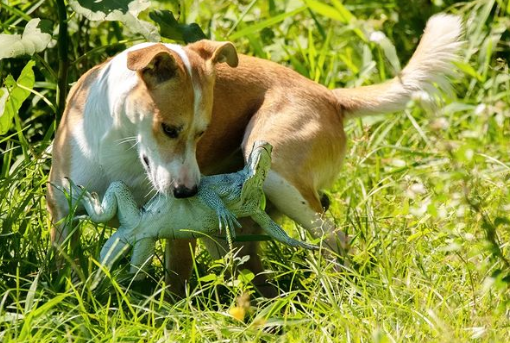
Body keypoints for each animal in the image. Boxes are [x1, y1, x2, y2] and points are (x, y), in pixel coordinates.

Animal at [46, 14, 462, 296]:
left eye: (202, 132)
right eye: (170, 129)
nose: (188, 193)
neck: (120, 143)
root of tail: (330, 95)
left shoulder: (176, 226)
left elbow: (175, 276)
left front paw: (168, 309)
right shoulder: (61, 211)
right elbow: (66, 263)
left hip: (277, 172)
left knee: (334, 239)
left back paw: (330, 290)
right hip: (240, 223)